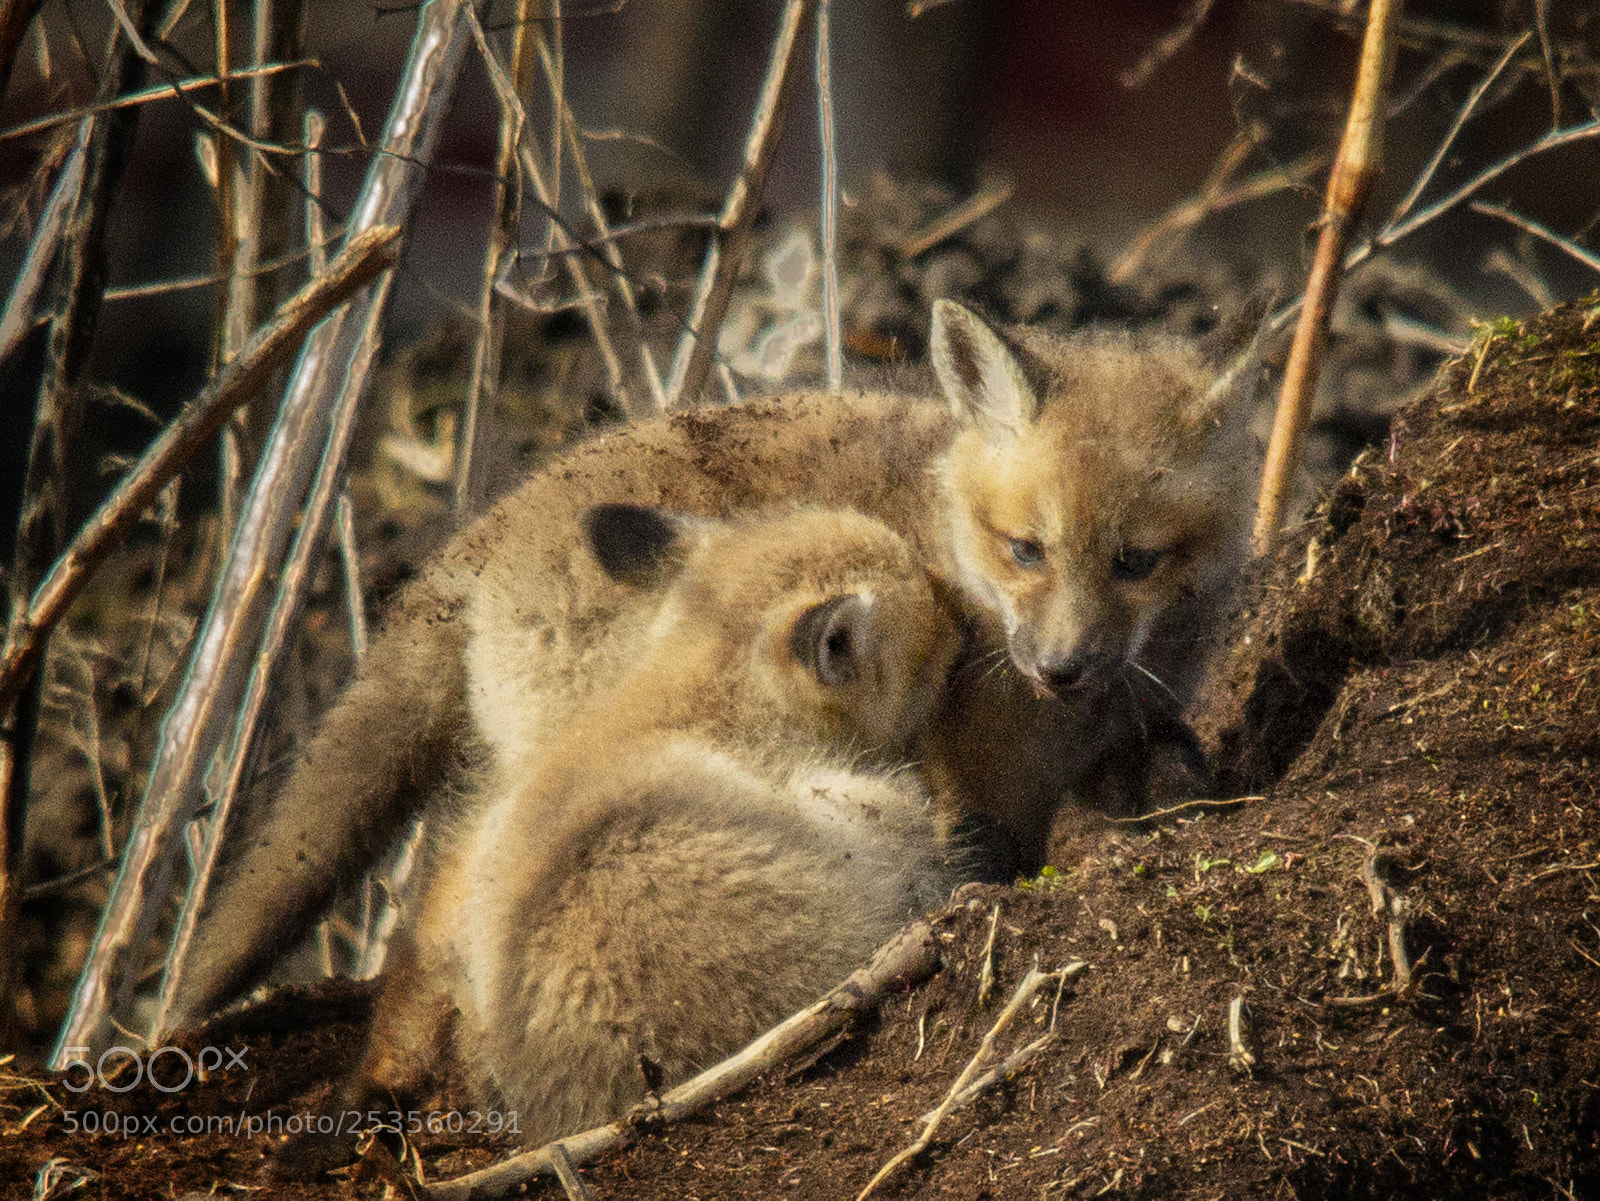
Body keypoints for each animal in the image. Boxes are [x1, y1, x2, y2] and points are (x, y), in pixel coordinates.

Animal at [167, 298, 1265, 1033]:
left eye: (1135, 561)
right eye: (1025, 549)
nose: (1060, 667)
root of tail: (475, 536)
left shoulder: (1113, 738)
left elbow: (1164, 778)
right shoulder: (981, 783)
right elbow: (993, 858)